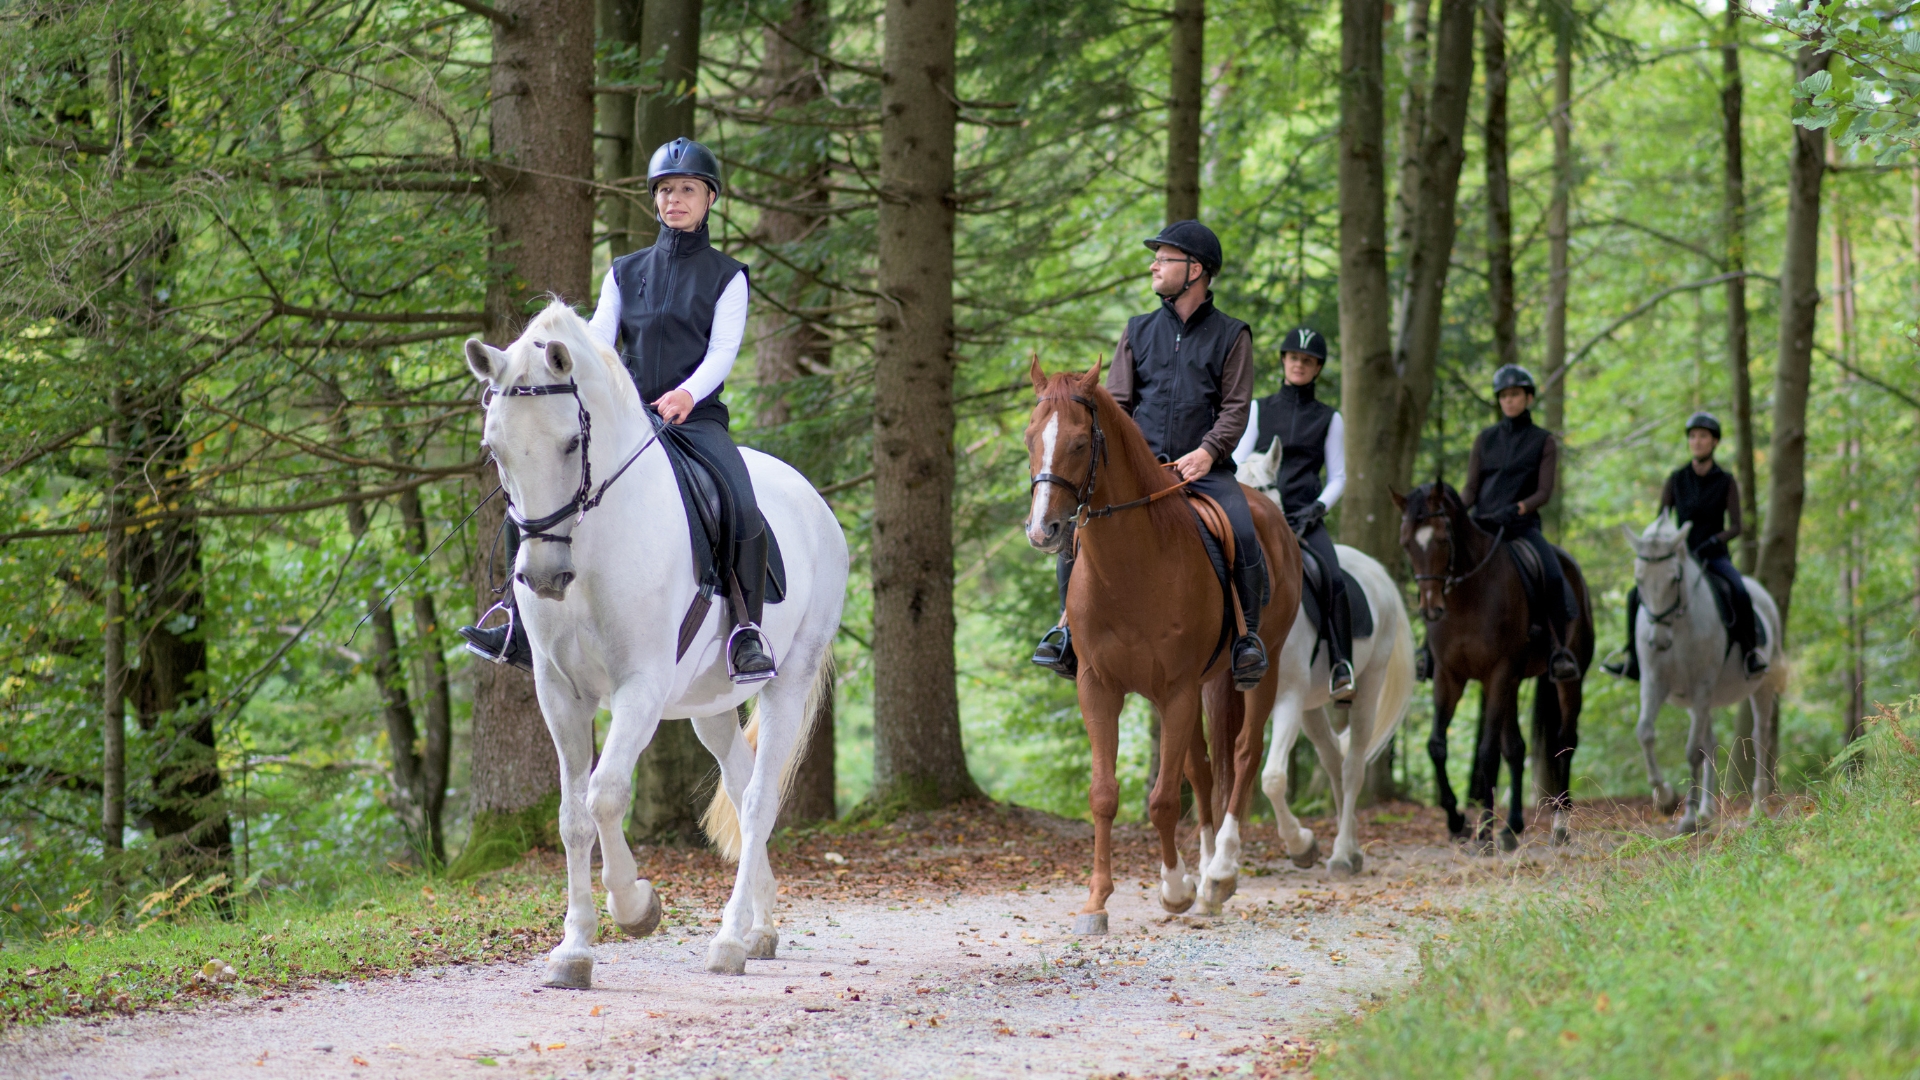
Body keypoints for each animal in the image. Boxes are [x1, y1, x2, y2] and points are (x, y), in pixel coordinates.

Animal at [463, 300, 848, 986]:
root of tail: (815, 504)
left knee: (758, 799)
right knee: (741, 784)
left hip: (789, 680)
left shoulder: (637, 688)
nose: (543, 577)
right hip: (709, 706)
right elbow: (572, 817)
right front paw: (574, 950)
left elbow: (606, 795)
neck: (592, 542)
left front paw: (636, 906)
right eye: (494, 447)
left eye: (571, 442)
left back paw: (729, 941)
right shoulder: (559, 693)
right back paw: (760, 929)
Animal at [1023, 358, 1301, 929]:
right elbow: (1105, 795)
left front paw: (1175, 889)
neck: (1130, 566)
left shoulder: (1175, 691)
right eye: (1030, 438)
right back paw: (1206, 872)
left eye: (1080, 443)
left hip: (1259, 670)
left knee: (1243, 754)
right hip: (1203, 685)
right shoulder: (1099, 687)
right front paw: (1097, 902)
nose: (1044, 531)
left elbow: (1163, 800)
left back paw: (1220, 873)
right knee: (1204, 766)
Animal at [1394, 481, 1592, 852]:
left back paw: (1560, 824)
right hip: (1513, 683)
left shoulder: (1497, 673)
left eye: (1442, 539)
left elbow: (1487, 753)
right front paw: (1457, 821)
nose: (1430, 609)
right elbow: (1437, 746)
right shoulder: (1449, 677)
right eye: (1406, 543)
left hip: (1566, 680)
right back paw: (1512, 828)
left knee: (1565, 740)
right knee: (1516, 748)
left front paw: (1483, 830)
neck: (1467, 596)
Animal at [1621, 515, 1784, 833]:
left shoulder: (1702, 686)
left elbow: (1692, 750)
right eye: (1639, 580)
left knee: (1760, 735)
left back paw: (1757, 807)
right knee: (1712, 741)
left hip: (1758, 687)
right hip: (1700, 700)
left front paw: (1686, 816)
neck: (1678, 626)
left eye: (1674, 578)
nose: (1659, 641)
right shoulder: (1654, 685)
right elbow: (1645, 732)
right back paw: (1708, 812)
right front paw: (1666, 797)